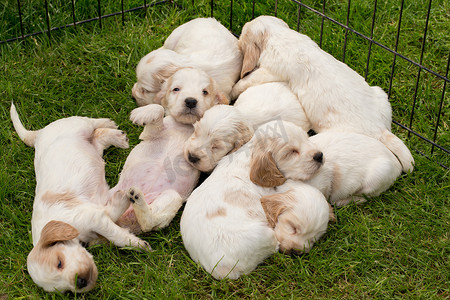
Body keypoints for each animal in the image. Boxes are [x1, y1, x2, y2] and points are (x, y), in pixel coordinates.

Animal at [9, 103, 150, 292]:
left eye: (59, 263)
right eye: (65, 291)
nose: (81, 282)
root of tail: (39, 134)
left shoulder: (92, 218)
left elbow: (116, 236)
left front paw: (139, 245)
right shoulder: (97, 213)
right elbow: (111, 214)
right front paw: (121, 200)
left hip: (76, 125)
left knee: (91, 122)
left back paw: (111, 124)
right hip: (91, 147)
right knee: (98, 138)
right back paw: (118, 138)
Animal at [114, 68, 227, 234]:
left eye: (205, 92)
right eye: (176, 89)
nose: (191, 101)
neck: (184, 125)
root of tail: (124, 221)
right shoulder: (149, 134)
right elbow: (159, 108)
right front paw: (143, 112)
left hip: (171, 197)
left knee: (149, 222)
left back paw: (137, 198)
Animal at [179, 120, 324, 280]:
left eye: (306, 138)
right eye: (291, 152)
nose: (319, 156)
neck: (250, 156)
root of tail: (221, 270)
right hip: (266, 236)